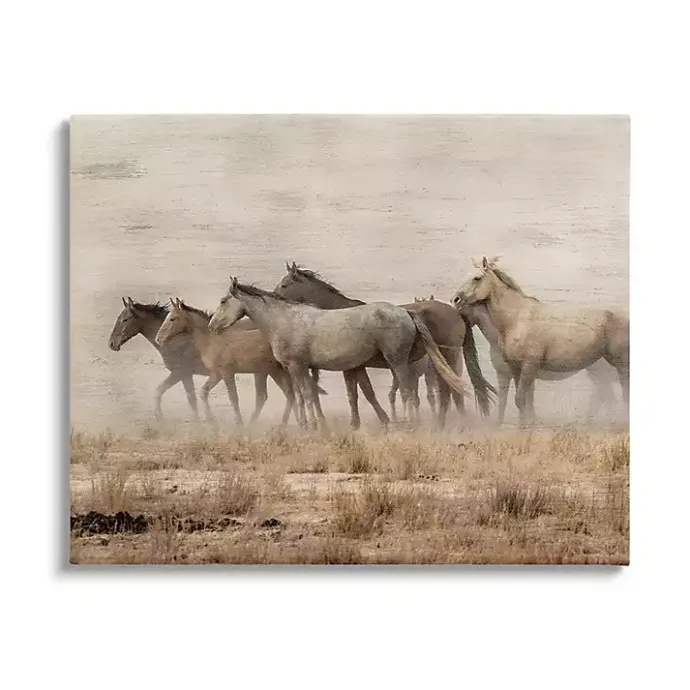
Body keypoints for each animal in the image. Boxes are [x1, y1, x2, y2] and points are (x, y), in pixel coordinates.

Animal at [154, 298, 326, 426]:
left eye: (172, 318)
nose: (158, 339)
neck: (211, 341)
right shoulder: (216, 374)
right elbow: (203, 392)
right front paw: (211, 420)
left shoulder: (226, 372)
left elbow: (233, 397)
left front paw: (238, 422)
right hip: (274, 371)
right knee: (290, 394)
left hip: (282, 370)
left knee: (293, 393)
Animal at [208, 279, 473, 432]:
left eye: (222, 301)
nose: (212, 325)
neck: (285, 320)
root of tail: (406, 312)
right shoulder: (301, 369)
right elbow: (305, 395)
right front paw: (308, 423)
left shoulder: (297, 367)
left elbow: (307, 394)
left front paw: (313, 425)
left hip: (398, 362)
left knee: (409, 393)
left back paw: (410, 424)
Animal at [273, 262, 495, 429]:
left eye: (284, 284)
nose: (273, 296)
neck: (339, 312)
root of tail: (456, 312)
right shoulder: (354, 367)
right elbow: (356, 393)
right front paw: (356, 424)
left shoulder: (351, 366)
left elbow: (364, 392)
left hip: (447, 357)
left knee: (450, 390)